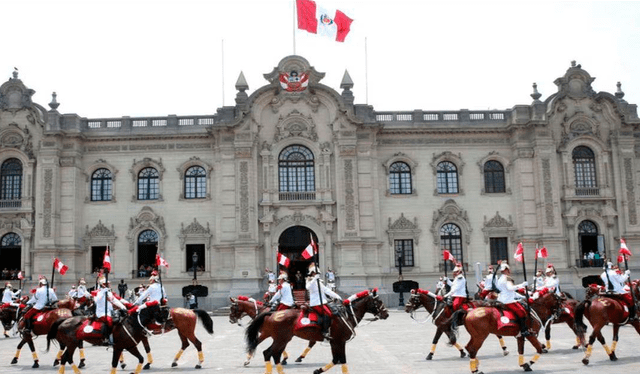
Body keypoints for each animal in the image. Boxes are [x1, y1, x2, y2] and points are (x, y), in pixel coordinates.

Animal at [244, 290, 384, 374]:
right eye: (379, 301)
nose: (386, 313)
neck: (346, 315)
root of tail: (272, 313)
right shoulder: (340, 341)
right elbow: (341, 360)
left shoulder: (335, 342)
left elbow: (336, 359)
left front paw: (318, 370)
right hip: (281, 339)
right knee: (268, 353)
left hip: (282, 339)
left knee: (273, 354)